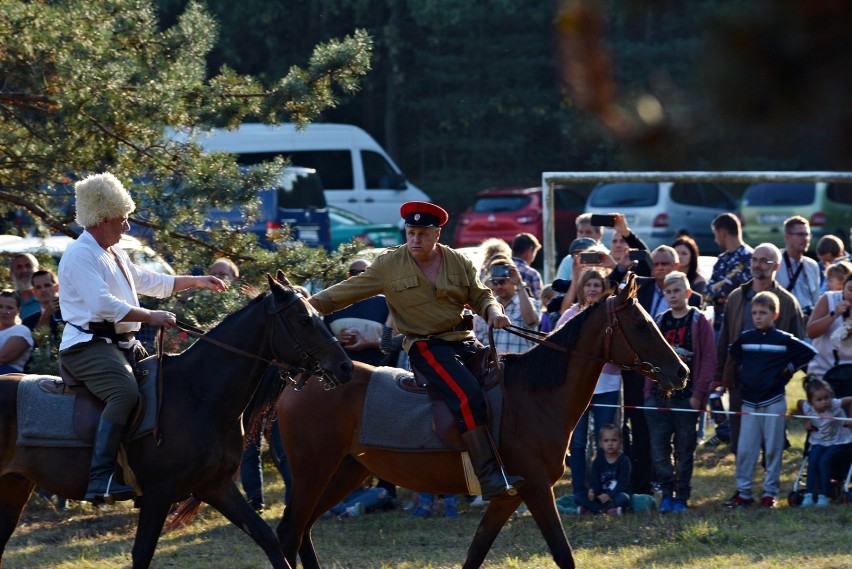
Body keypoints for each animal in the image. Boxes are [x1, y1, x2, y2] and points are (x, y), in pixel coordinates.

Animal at [0, 272, 352, 568]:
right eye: (304, 320)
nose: (345, 367)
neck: (197, 394)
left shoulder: (216, 486)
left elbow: (267, 538)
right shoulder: (158, 494)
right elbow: (142, 553)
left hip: (14, 487)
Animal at [276, 272, 688, 564]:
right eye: (640, 325)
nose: (681, 371)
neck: (536, 397)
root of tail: (304, 380)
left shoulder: (508, 498)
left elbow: (476, 553)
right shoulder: (537, 489)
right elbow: (562, 553)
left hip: (344, 471)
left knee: (301, 531)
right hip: (313, 472)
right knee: (290, 532)